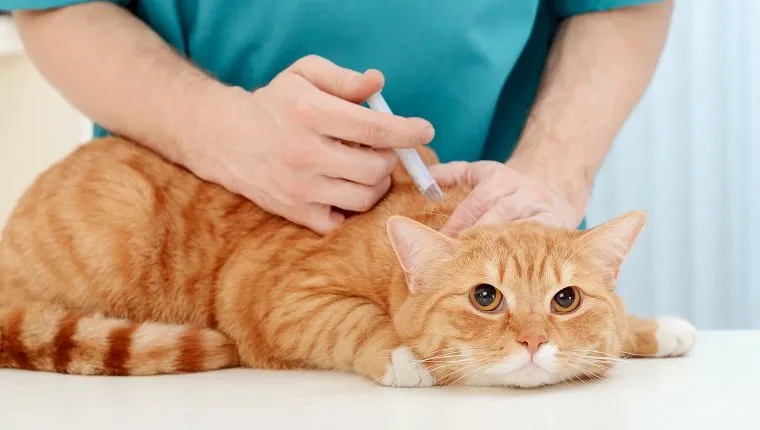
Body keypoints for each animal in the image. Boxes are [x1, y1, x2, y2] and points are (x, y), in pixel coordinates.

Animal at [0, 137, 696, 386]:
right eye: (485, 298)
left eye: (566, 300)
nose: (531, 341)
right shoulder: (274, 296)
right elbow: (357, 323)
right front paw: (403, 356)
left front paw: (654, 329)